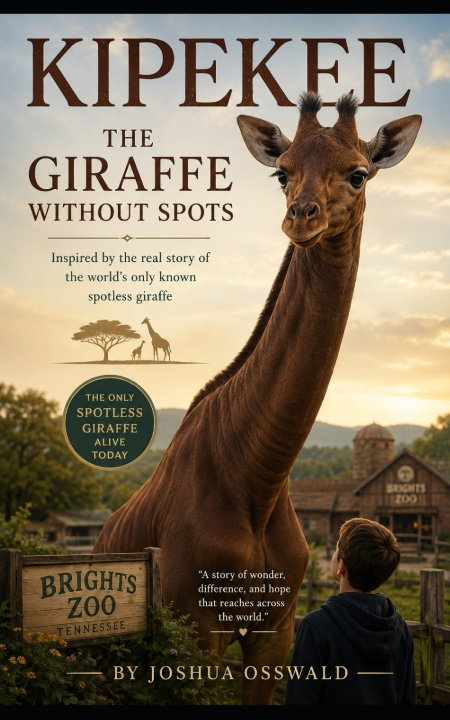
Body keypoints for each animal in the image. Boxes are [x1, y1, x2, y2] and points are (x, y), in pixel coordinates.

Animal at [94, 91, 421, 705]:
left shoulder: (276, 630)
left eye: (359, 173)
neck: (259, 477)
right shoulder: (198, 631)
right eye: (281, 172)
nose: (301, 217)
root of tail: (100, 538)